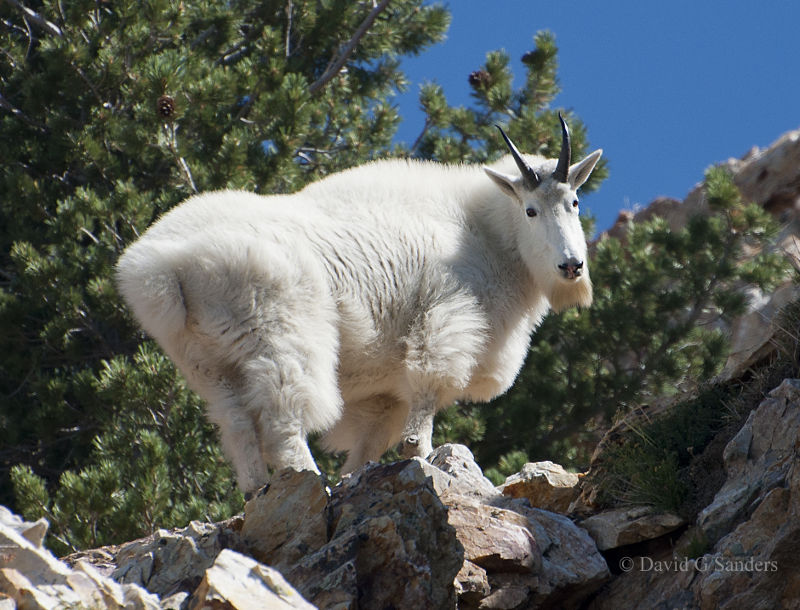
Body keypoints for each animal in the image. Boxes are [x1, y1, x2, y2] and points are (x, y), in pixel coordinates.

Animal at [114, 115, 600, 494]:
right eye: (531, 210)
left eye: (575, 202)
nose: (571, 266)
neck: (488, 233)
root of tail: (161, 268)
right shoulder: (447, 318)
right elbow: (427, 394)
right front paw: (424, 456)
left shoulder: (383, 391)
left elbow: (370, 441)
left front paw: (358, 475)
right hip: (281, 333)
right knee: (283, 418)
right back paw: (308, 481)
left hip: (205, 361)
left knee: (235, 424)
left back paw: (257, 491)